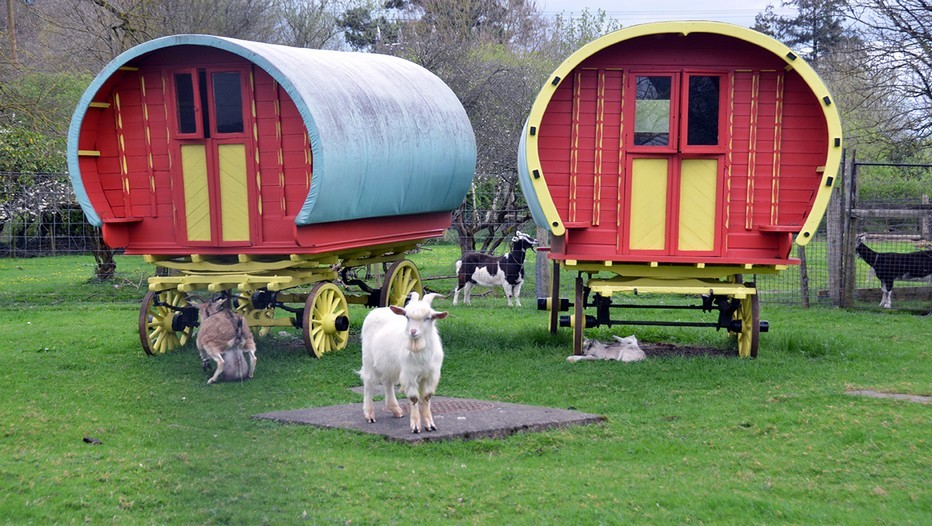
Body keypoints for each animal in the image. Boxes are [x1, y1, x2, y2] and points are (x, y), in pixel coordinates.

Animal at [360, 292, 448, 434]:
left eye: (428, 318)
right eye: (407, 316)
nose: (413, 331)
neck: (418, 350)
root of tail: (378, 310)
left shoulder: (431, 374)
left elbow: (427, 397)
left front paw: (430, 424)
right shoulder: (409, 374)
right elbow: (414, 398)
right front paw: (416, 426)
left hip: (388, 364)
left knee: (387, 382)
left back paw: (395, 409)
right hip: (368, 358)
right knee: (368, 382)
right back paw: (369, 414)